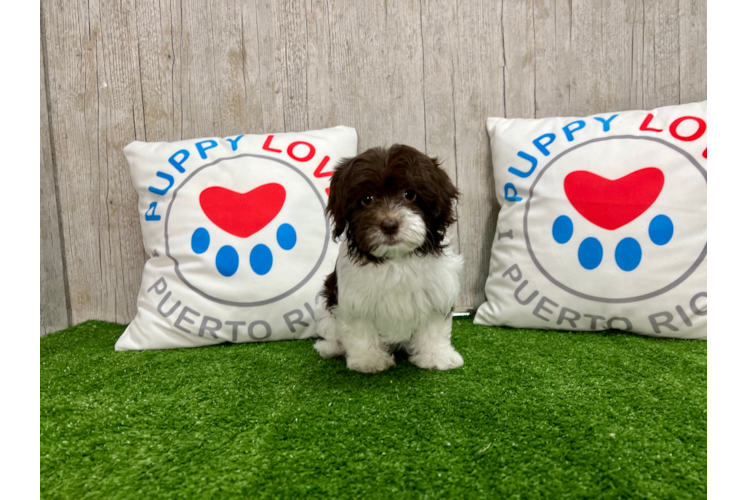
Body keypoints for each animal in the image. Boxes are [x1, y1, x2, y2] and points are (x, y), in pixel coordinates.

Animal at [312, 143, 464, 374]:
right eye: (367, 199)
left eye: (410, 194)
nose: (389, 225)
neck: (395, 259)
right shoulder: (355, 300)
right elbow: (360, 330)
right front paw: (369, 360)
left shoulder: (437, 292)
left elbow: (434, 327)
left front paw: (436, 357)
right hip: (327, 304)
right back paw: (330, 347)